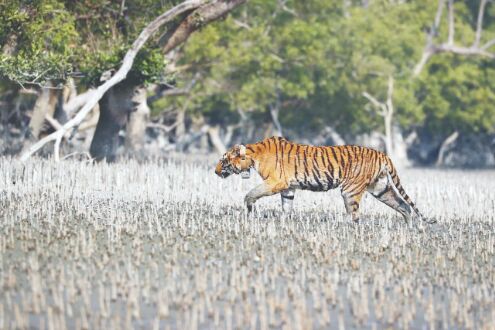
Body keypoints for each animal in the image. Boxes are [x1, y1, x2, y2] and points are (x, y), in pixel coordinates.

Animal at [213, 135, 434, 223]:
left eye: (223, 160)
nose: (215, 172)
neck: (254, 155)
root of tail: (382, 154)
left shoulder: (275, 182)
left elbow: (251, 193)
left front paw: (249, 209)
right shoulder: (288, 188)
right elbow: (286, 207)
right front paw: (284, 223)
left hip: (350, 190)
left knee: (354, 216)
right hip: (380, 188)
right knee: (404, 206)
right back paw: (409, 227)